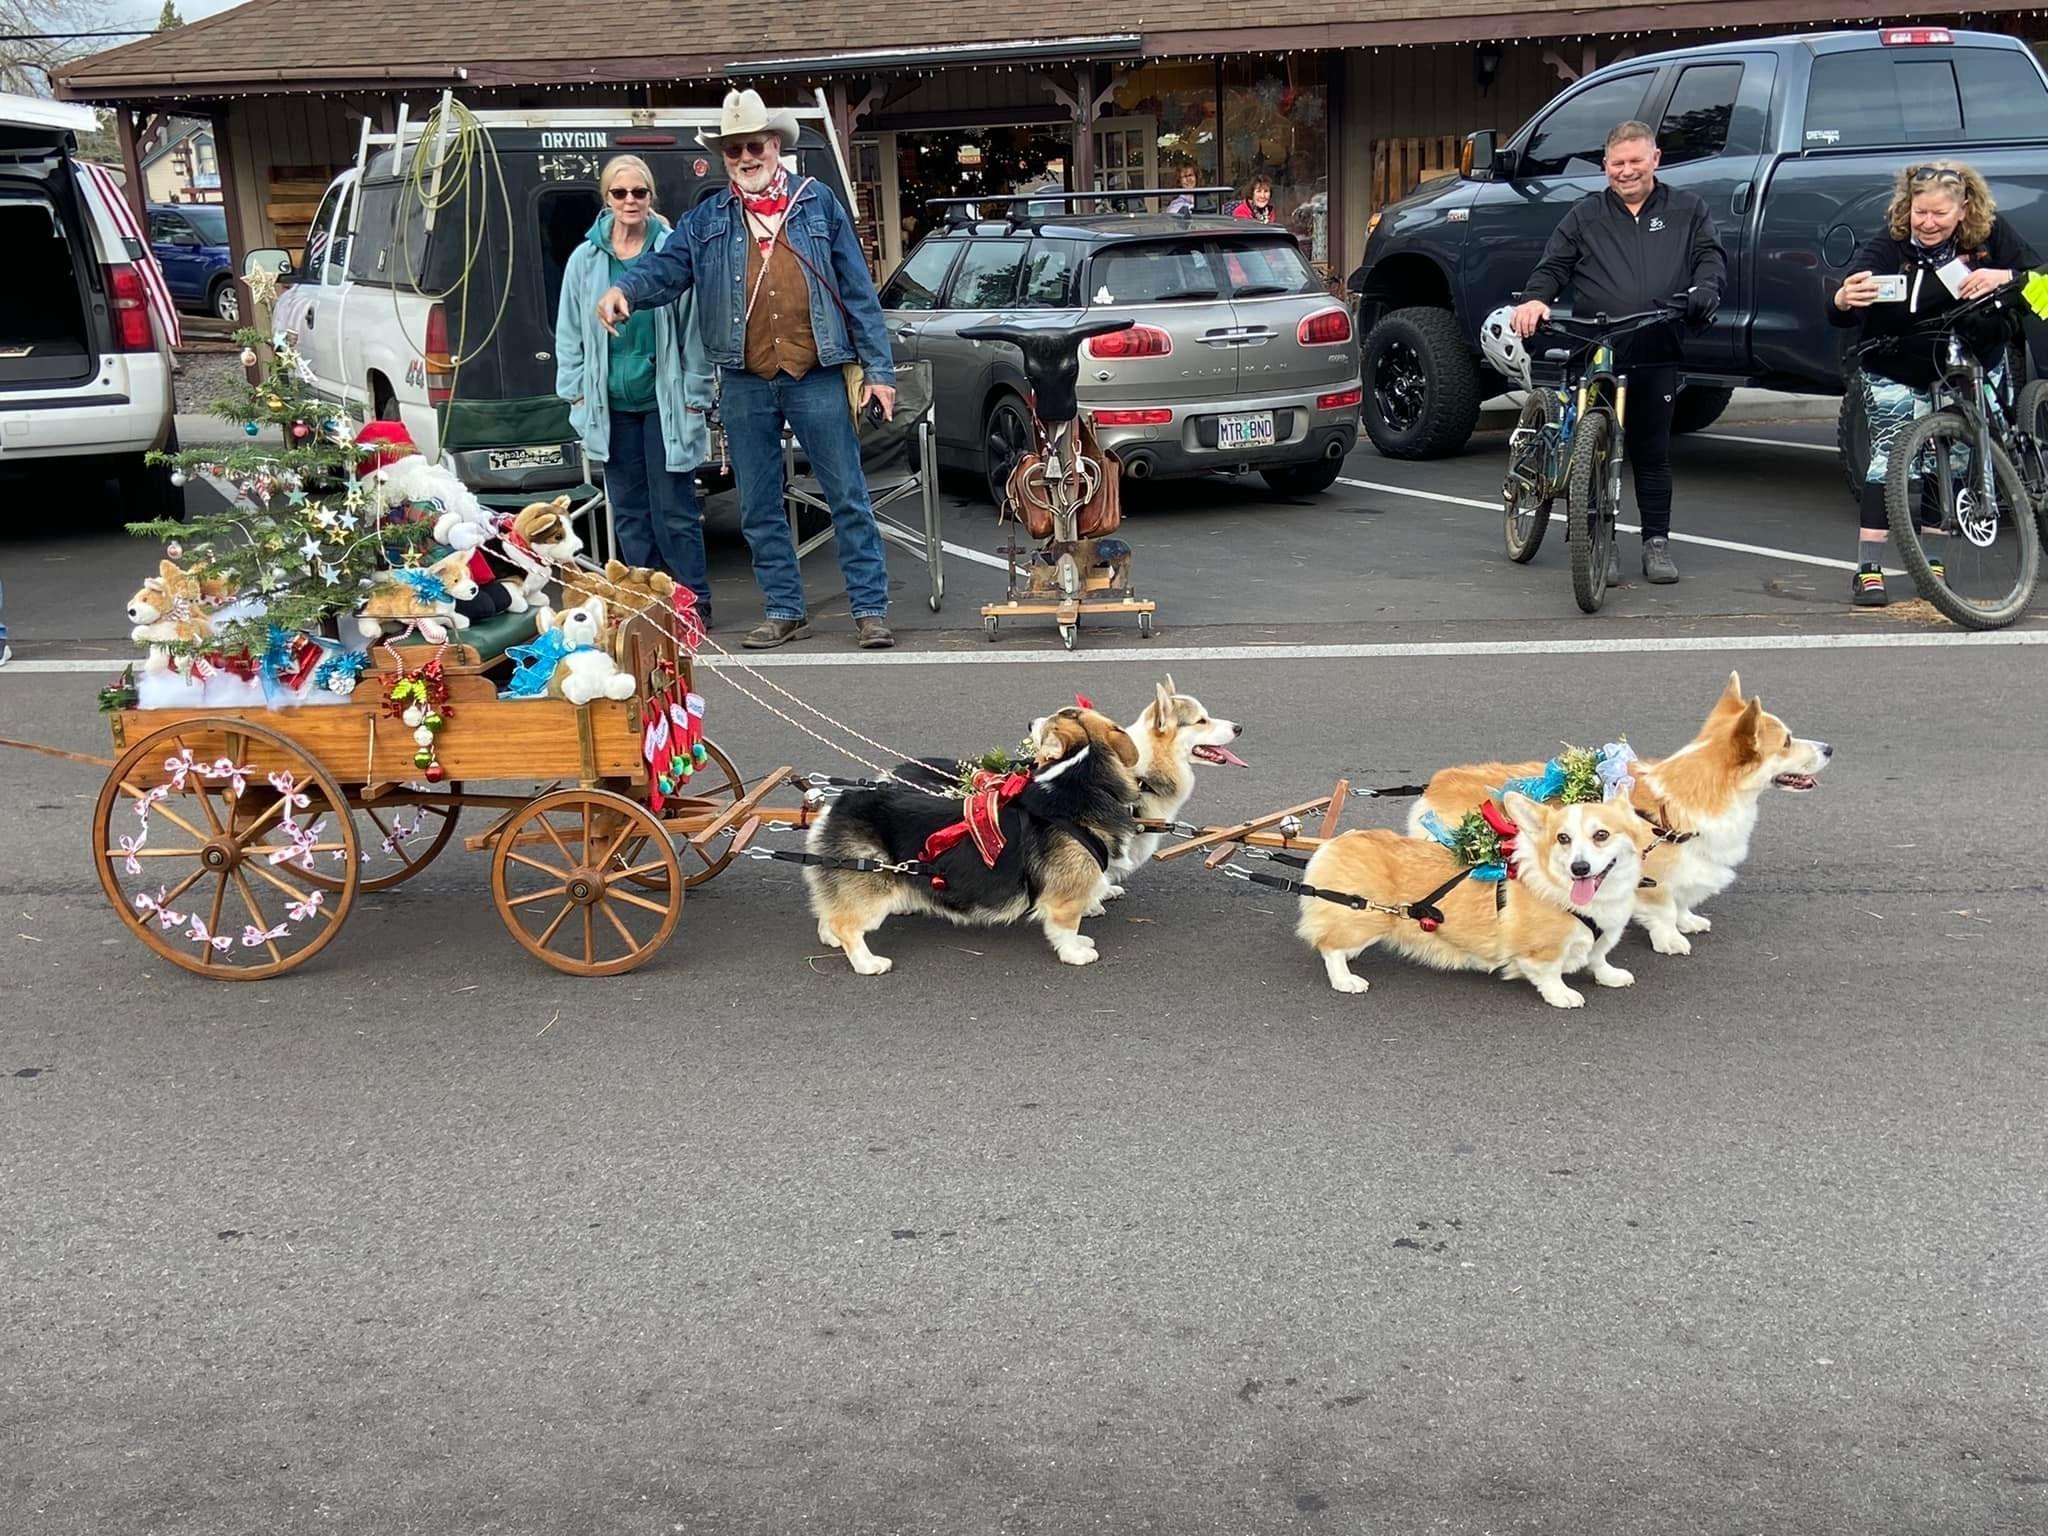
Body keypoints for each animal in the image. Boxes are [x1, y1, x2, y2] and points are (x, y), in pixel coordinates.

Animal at [806, 708, 1146, 978]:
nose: (1029, 722)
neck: (1079, 781)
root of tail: (834, 807)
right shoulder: (1065, 898)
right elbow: (1066, 927)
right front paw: (1076, 953)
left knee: (829, 911)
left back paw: (830, 938)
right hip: (872, 889)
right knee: (847, 925)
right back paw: (869, 963)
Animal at [1302, 794, 1654, 1011]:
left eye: (1601, 835)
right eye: (1562, 838)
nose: (1579, 868)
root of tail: (1335, 842)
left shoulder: (1603, 937)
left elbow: (1598, 957)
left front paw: (1609, 976)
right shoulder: (1542, 951)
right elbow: (1550, 973)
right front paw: (1562, 995)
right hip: (1367, 916)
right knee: (1331, 946)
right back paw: (1346, 980)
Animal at [1417, 675, 1835, 958]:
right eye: (1787, 742)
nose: (1830, 748)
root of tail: (1435, 785)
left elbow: (1681, 902)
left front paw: (1688, 921)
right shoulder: (1652, 880)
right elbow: (1664, 910)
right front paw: (1671, 940)